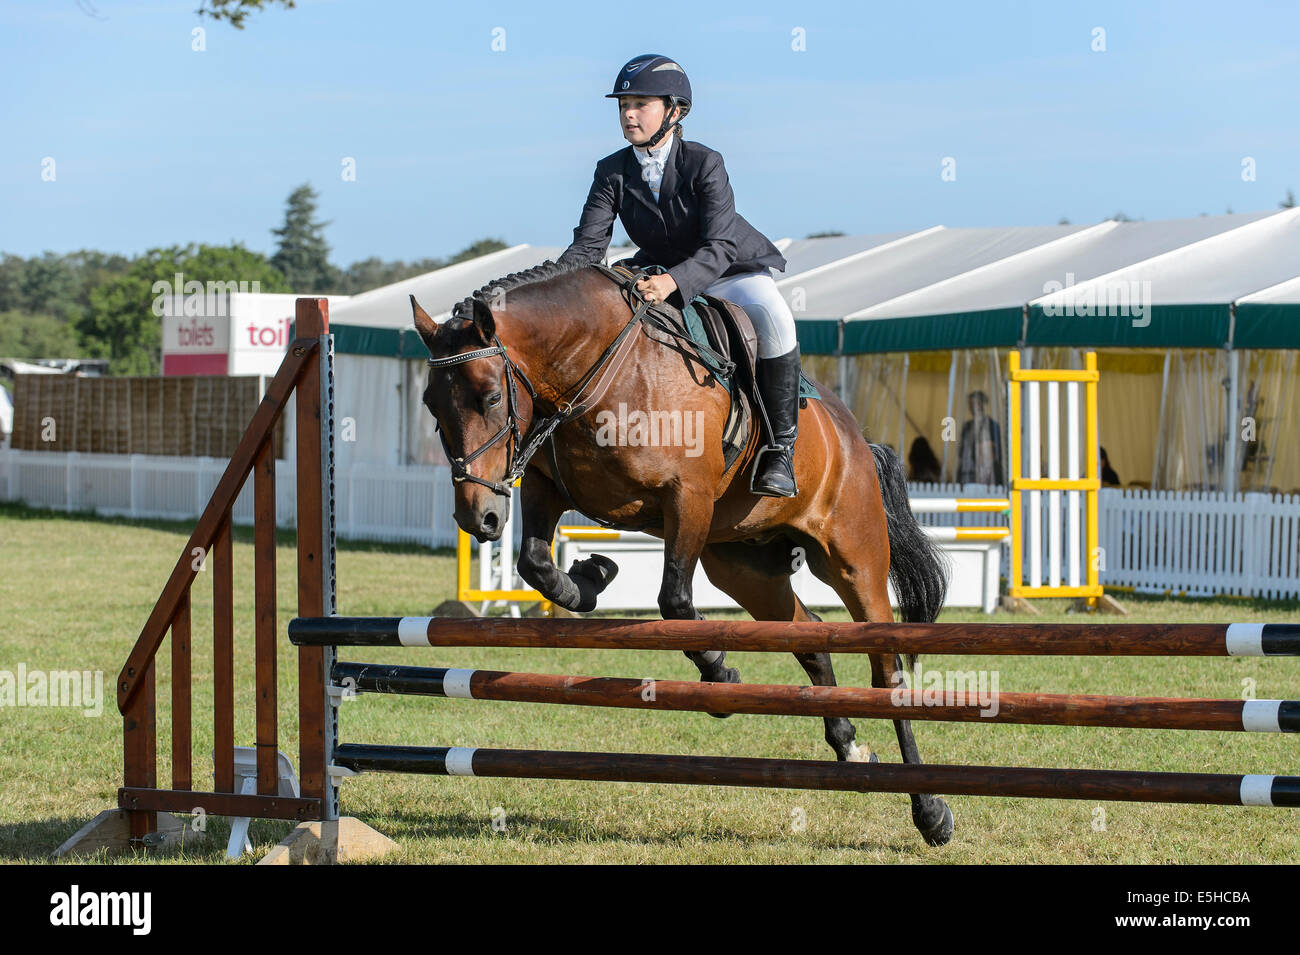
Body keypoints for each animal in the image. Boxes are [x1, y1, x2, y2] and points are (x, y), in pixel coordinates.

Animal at [416, 259, 956, 841]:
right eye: (430, 404)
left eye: (491, 397)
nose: (479, 518)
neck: (594, 373)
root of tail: (853, 433)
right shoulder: (545, 487)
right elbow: (536, 564)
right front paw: (593, 575)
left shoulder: (687, 498)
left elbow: (673, 601)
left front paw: (720, 674)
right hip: (744, 571)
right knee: (810, 639)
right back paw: (851, 748)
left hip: (853, 559)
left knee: (886, 668)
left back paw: (931, 810)